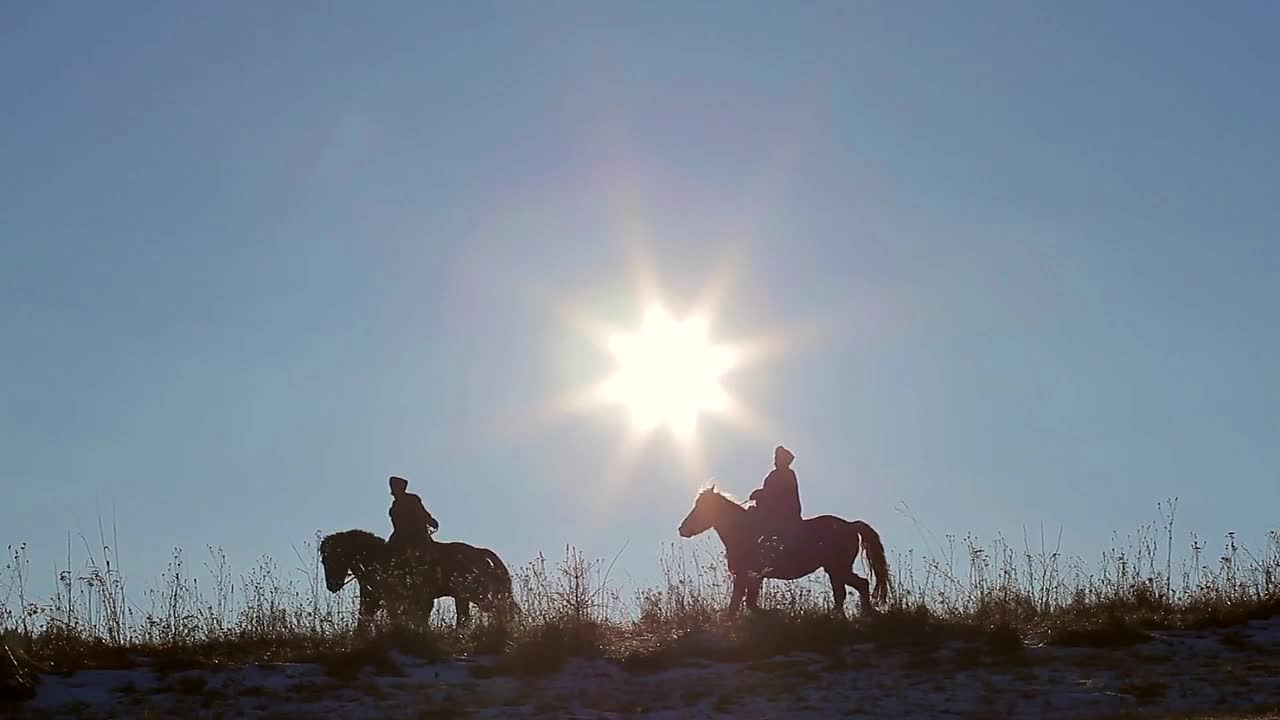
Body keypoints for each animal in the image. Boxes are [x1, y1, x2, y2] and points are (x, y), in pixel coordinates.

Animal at [318, 525, 514, 625]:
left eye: (335, 558)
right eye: (324, 561)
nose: (332, 585)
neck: (377, 558)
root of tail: (481, 553)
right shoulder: (373, 599)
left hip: (476, 594)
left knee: (498, 610)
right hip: (464, 596)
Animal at [680, 484, 890, 614]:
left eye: (701, 507)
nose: (682, 529)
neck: (743, 531)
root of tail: (851, 525)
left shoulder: (749, 575)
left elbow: (744, 604)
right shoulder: (748, 576)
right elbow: (742, 604)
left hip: (838, 568)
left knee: (856, 587)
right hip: (835, 569)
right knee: (849, 590)